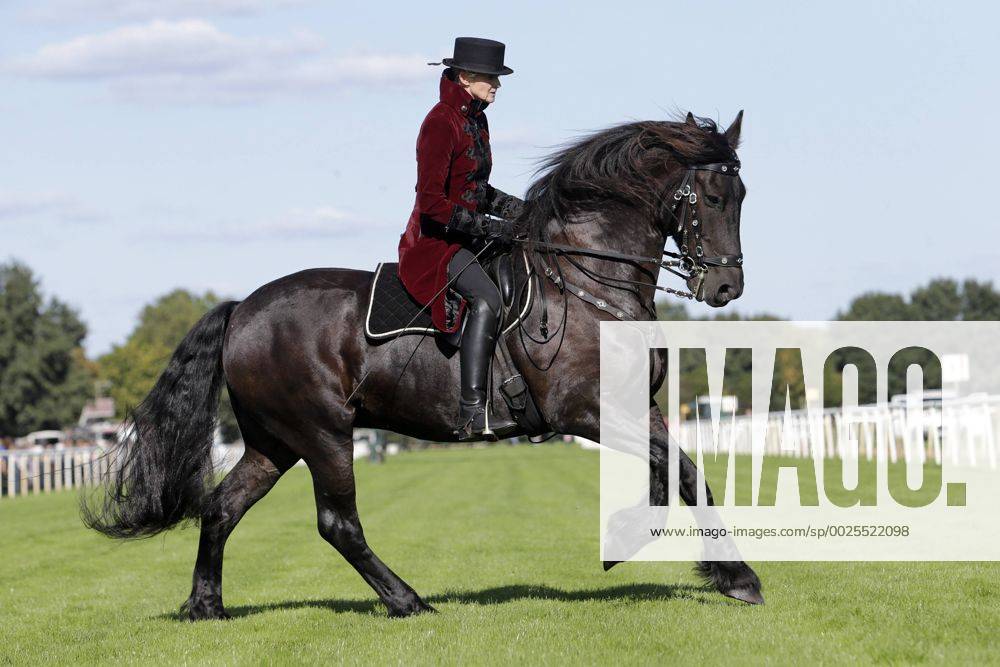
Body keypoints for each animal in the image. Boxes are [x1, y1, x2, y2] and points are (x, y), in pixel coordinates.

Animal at [82, 111, 763, 620]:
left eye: (742, 195)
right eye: (713, 195)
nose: (726, 287)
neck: (586, 279)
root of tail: (242, 309)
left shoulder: (637, 406)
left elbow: (680, 473)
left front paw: (671, 552)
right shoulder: (584, 411)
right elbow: (680, 470)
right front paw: (735, 577)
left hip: (274, 442)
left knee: (222, 508)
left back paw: (207, 607)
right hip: (323, 433)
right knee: (337, 523)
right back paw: (406, 600)